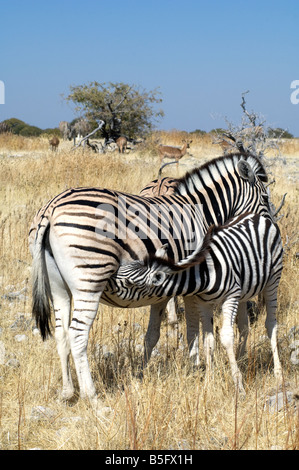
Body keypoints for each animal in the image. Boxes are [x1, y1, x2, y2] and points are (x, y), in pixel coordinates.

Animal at [116, 213, 284, 392]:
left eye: (129, 283)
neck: (203, 275)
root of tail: (257, 216)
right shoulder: (204, 303)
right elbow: (208, 341)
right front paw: (209, 382)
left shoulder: (231, 296)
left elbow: (226, 336)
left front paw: (238, 384)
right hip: (244, 292)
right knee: (245, 326)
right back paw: (240, 359)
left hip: (273, 280)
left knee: (271, 324)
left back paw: (278, 374)